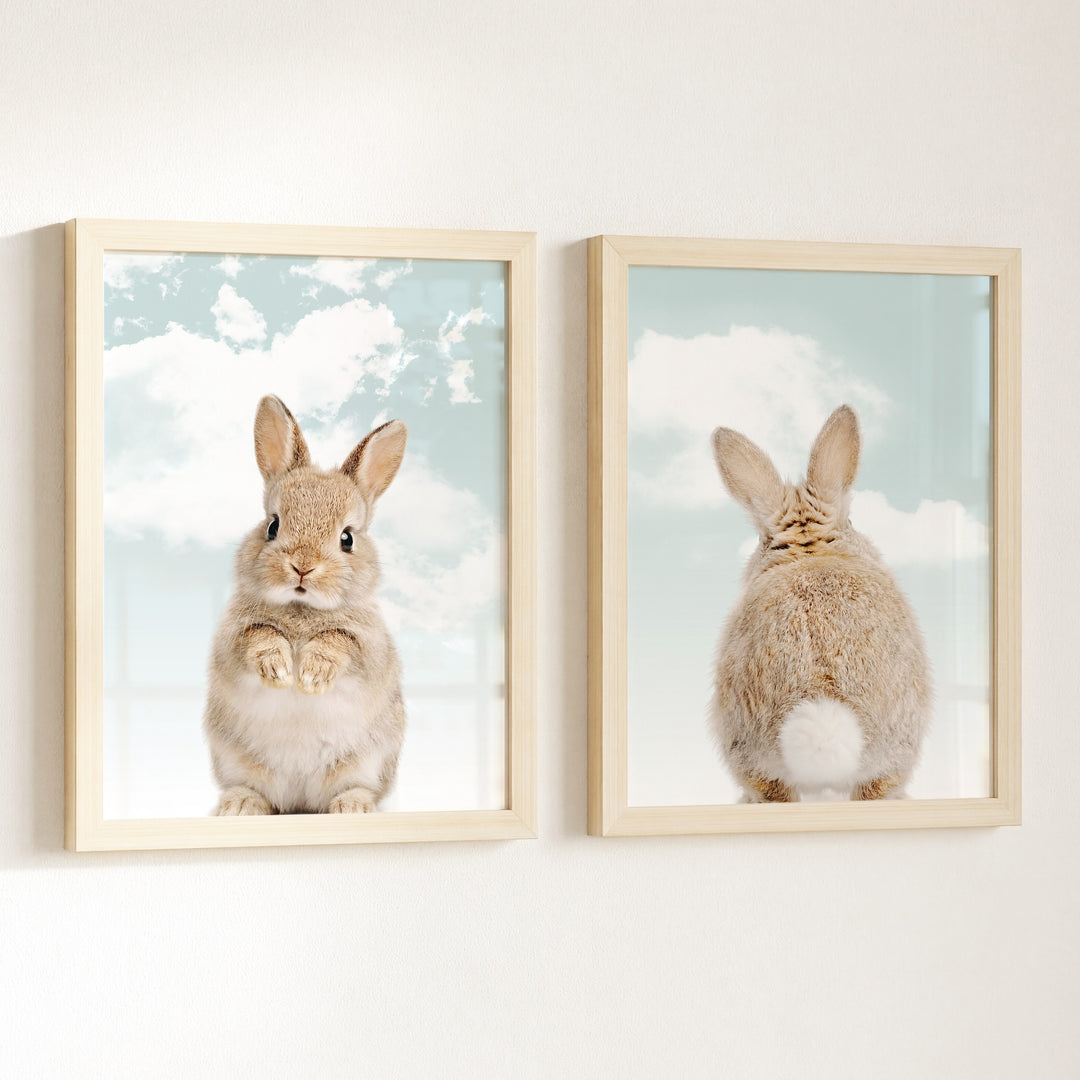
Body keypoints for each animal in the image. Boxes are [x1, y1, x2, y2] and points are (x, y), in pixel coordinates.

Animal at [203, 395, 408, 815]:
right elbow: (260, 638)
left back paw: (353, 808)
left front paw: (311, 676)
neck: (302, 608)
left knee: (355, 788)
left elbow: (338, 642)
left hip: (367, 762)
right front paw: (280, 671)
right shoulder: (234, 638)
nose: (302, 566)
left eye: (347, 538)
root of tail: (299, 801)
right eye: (272, 526)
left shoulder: (368, 647)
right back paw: (240, 805)